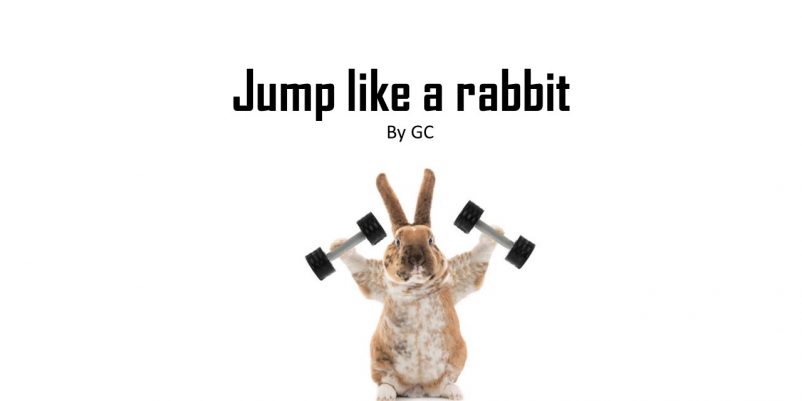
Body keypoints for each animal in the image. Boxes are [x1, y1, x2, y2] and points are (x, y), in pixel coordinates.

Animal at [330, 169, 502, 401]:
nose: (417, 258)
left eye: (431, 240)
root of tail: (417, 388)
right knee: (386, 382)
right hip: (380, 361)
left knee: (445, 383)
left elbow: (477, 258)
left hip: (455, 361)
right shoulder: (376, 280)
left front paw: (495, 232)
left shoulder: (457, 278)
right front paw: (338, 245)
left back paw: (454, 392)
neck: (416, 289)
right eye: (397, 241)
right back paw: (386, 394)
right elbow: (360, 266)